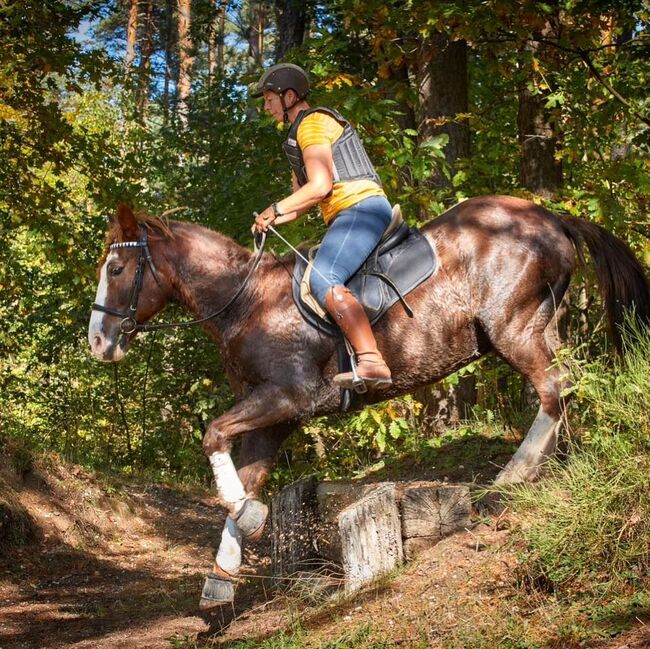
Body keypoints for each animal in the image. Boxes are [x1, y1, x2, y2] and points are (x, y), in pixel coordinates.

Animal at [87, 194, 648, 608]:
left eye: (116, 269)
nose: (98, 342)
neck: (245, 302)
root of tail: (550, 216)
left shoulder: (289, 397)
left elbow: (213, 434)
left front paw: (246, 521)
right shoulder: (271, 419)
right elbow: (240, 475)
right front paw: (222, 574)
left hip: (514, 327)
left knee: (553, 388)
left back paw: (515, 474)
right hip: (539, 326)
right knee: (568, 385)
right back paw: (560, 461)